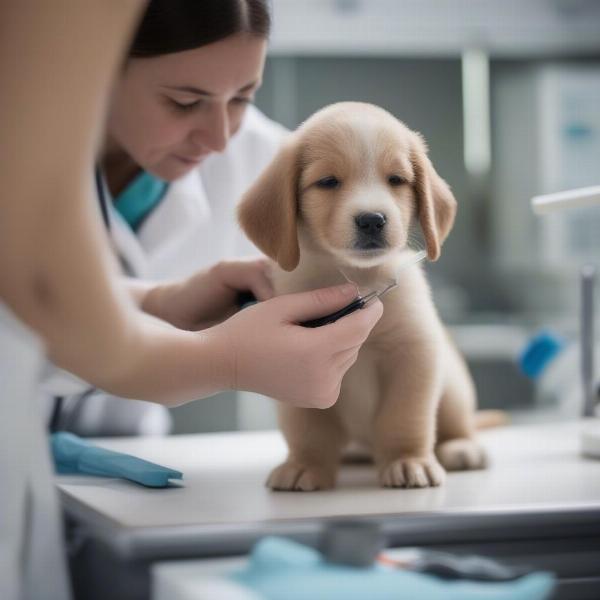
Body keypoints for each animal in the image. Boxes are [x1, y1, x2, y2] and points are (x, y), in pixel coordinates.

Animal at [238, 101, 488, 490]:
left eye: (396, 180)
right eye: (328, 182)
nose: (372, 219)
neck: (356, 276)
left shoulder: (413, 354)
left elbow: (405, 417)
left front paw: (407, 460)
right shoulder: (297, 368)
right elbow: (308, 426)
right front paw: (305, 464)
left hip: (454, 389)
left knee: (457, 423)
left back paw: (462, 447)